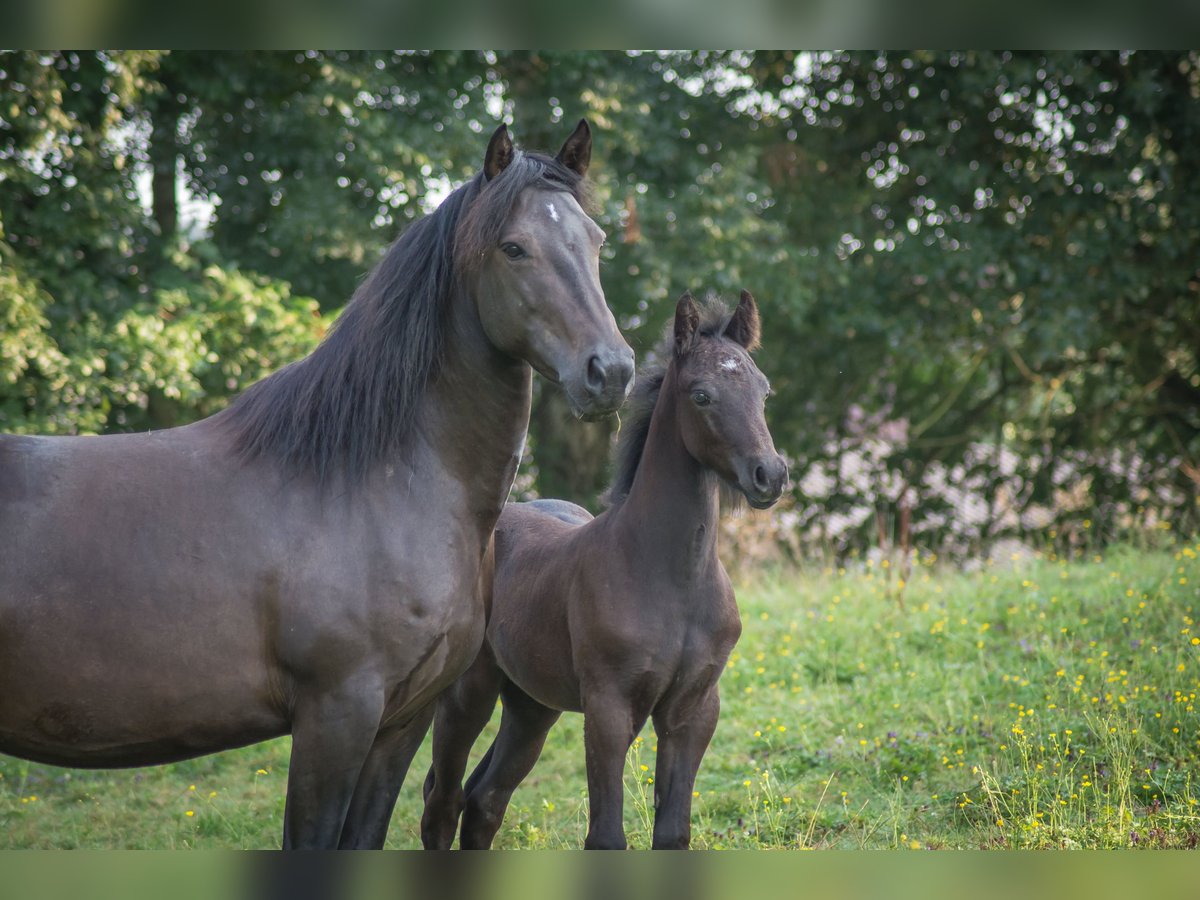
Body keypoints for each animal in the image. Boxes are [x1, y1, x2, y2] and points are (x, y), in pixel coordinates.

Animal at [0, 121, 638, 854]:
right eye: (514, 247)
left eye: (595, 240)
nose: (610, 371)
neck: (369, 489)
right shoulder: (335, 717)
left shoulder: (402, 722)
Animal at [422, 292, 787, 849]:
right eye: (702, 395)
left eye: (763, 391)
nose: (770, 475)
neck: (671, 576)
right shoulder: (609, 708)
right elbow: (606, 836)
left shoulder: (693, 711)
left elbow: (672, 834)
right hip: (469, 693)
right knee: (442, 802)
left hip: (532, 707)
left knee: (484, 800)